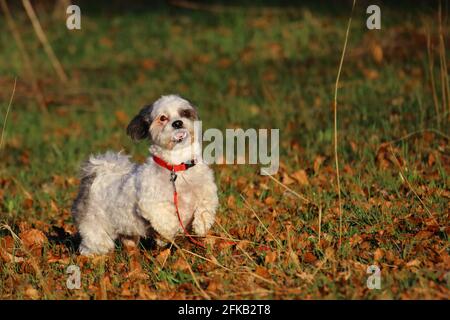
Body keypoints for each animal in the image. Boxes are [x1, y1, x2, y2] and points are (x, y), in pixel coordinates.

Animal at [72, 94, 220, 255]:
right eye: (163, 118)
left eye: (185, 113)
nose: (177, 123)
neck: (177, 167)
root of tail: (97, 174)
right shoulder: (150, 203)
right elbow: (165, 219)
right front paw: (169, 234)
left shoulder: (207, 191)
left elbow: (205, 206)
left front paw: (201, 225)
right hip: (96, 230)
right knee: (93, 244)